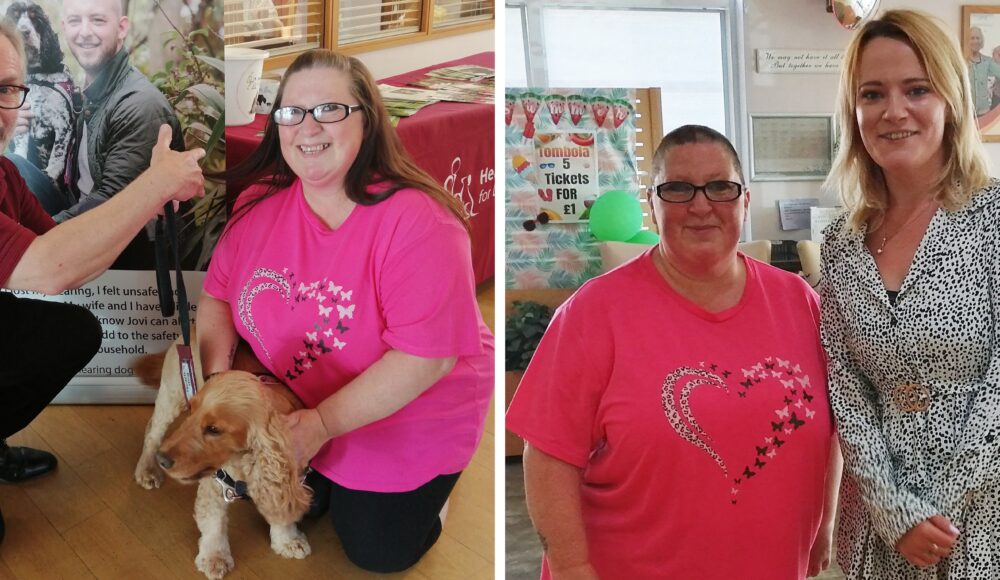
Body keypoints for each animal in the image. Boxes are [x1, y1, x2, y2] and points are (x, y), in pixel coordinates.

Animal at [6, 0, 75, 184]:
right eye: (14, 17)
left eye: (35, 19)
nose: (24, 32)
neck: (37, 76)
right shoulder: (24, 117)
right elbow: (21, 143)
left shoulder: (63, 123)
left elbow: (58, 152)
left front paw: (51, 172)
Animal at [134, 338, 312, 576]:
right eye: (192, 410)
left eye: (214, 429)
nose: (163, 460)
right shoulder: (215, 482)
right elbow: (214, 523)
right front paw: (214, 557)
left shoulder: (292, 472)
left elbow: (279, 508)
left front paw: (288, 540)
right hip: (171, 394)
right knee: (153, 431)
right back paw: (147, 470)